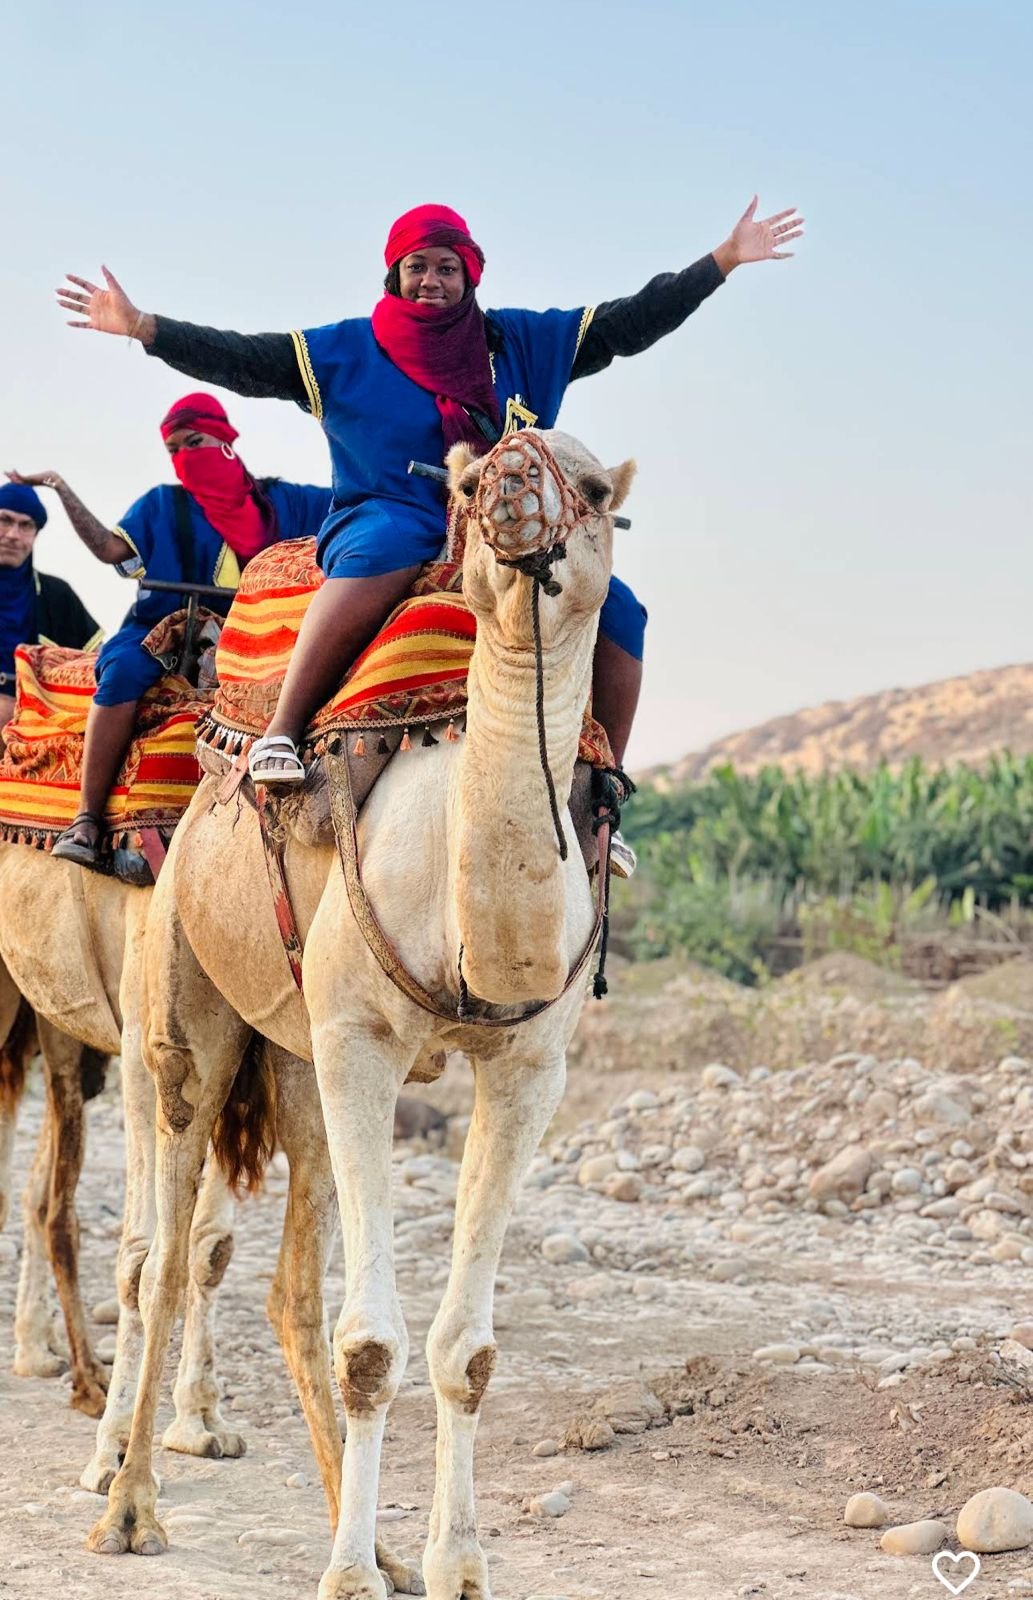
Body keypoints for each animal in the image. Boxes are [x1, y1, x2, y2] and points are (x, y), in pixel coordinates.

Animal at [88, 428, 634, 1600]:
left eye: (591, 485)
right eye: (467, 482)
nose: (509, 481)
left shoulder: (529, 1068)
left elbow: (467, 1350)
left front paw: (453, 1563)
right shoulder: (363, 1047)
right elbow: (372, 1348)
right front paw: (343, 1576)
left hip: (295, 1057)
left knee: (288, 1284)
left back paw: (371, 1537)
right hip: (189, 1008)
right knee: (164, 1255)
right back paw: (130, 1505)